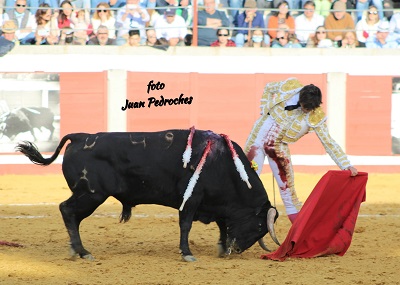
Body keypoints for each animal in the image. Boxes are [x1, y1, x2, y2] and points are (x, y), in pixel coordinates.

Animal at [14, 130, 278, 260]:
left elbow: (223, 225)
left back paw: (77, 250)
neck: (223, 162)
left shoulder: (215, 205)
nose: (238, 250)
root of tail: (79, 136)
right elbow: (185, 226)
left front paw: (222, 248)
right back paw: (82, 252)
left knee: (70, 214)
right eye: (258, 226)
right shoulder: (191, 200)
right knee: (67, 211)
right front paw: (187, 253)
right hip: (91, 194)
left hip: (89, 195)